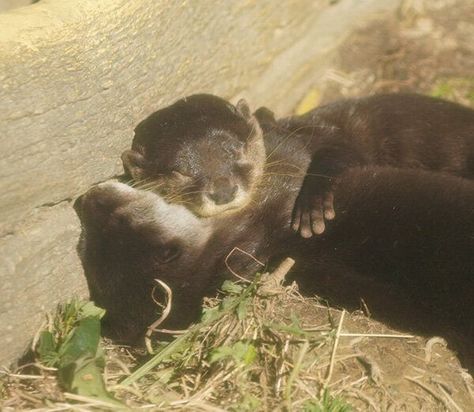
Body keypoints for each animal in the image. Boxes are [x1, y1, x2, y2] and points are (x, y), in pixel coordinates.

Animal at [122, 92, 474, 235]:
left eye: (236, 151)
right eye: (179, 172)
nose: (223, 191)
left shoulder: (328, 134)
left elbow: (338, 154)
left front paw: (311, 207)